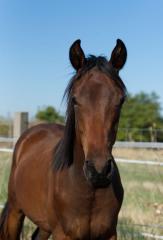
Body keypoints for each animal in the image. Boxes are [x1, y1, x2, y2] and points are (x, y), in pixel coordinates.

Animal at [0, 38, 127, 239]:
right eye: (74, 99)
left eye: (121, 100)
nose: (98, 170)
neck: (88, 190)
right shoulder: (63, 234)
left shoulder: (109, 234)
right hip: (15, 211)